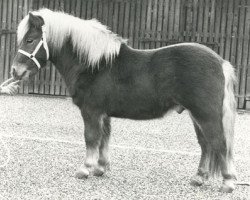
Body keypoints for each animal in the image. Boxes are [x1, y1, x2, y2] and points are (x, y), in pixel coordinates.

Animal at [11, 9, 237, 192]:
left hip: (206, 114)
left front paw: (85, 169)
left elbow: (91, 138)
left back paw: (227, 182)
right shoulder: (103, 113)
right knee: (206, 144)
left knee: (220, 143)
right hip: (196, 115)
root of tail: (221, 62)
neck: (94, 64)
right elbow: (104, 138)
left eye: (30, 40)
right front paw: (101, 168)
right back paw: (199, 178)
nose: (15, 71)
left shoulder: (91, 111)